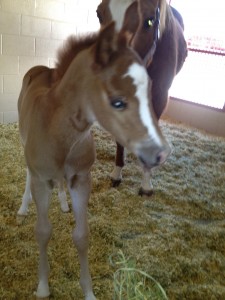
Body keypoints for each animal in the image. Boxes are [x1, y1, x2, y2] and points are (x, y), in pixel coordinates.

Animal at [18, 22, 170, 298]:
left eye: (149, 91)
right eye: (117, 101)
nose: (161, 152)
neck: (59, 130)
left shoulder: (81, 179)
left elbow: (82, 236)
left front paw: (88, 291)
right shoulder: (41, 180)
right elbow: (43, 231)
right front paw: (43, 287)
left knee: (60, 183)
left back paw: (63, 204)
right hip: (26, 149)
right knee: (27, 174)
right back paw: (23, 208)